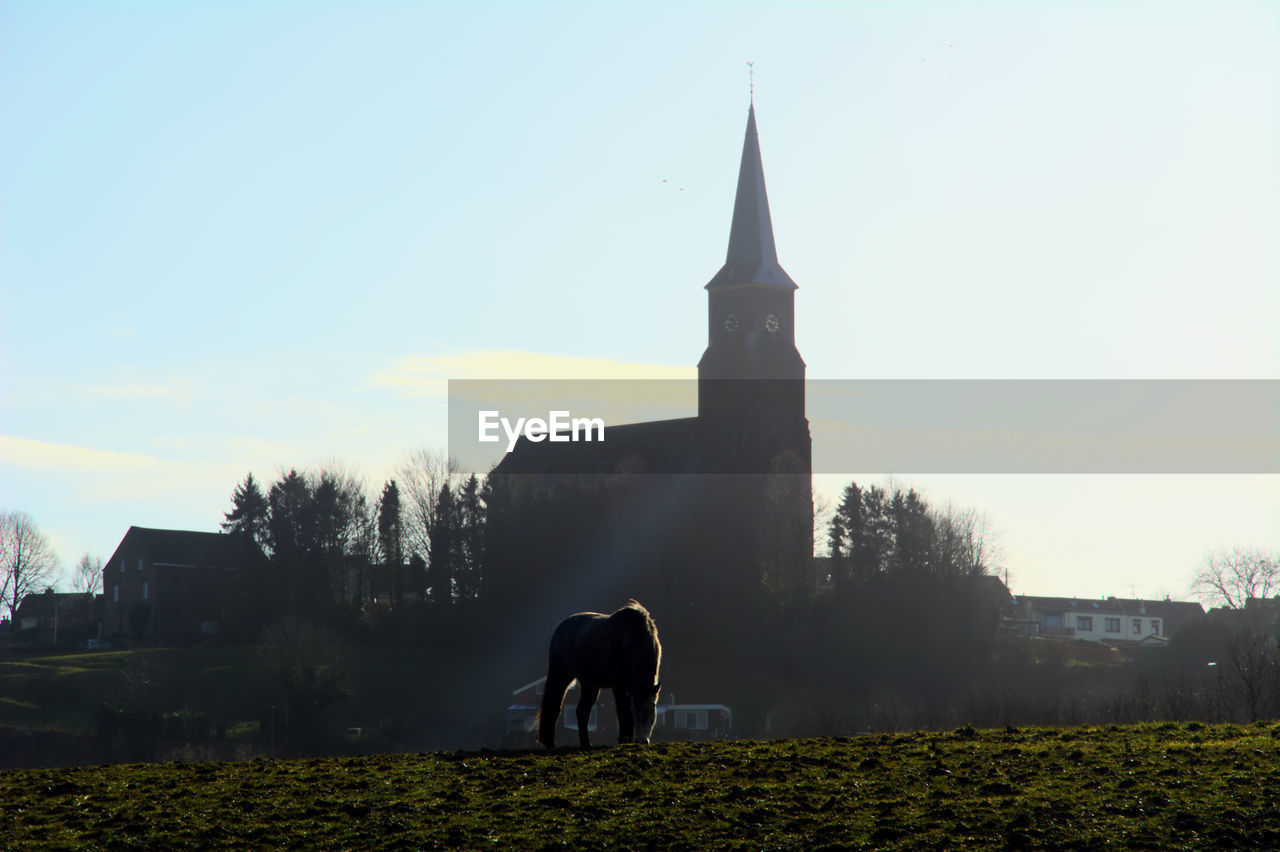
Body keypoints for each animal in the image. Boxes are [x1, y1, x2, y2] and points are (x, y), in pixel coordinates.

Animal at [537, 593, 665, 747]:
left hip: (589, 684)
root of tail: (560, 627)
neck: (632, 639)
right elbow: (623, 711)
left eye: (652, 712)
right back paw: (550, 743)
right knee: (554, 706)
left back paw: (586, 744)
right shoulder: (619, 686)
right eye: (635, 712)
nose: (642, 740)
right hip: (561, 675)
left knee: (582, 711)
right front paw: (623, 739)